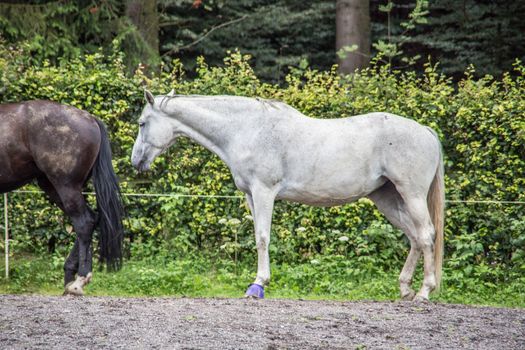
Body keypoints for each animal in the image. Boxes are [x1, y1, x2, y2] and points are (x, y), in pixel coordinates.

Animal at [0, 100, 123, 294]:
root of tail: (90, 118)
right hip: (53, 187)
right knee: (91, 219)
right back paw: (70, 278)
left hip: (65, 186)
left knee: (84, 222)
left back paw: (80, 280)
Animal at [130, 90, 442, 300]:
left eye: (142, 123)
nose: (135, 161)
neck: (247, 129)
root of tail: (426, 130)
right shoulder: (250, 195)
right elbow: (258, 235)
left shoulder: (264, 191)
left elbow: (262, 237)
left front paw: (258, 285)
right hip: (388, 199)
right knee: (414, 237)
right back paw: (405, 289)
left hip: (411, 195)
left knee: (426, 234)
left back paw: (424, 292)